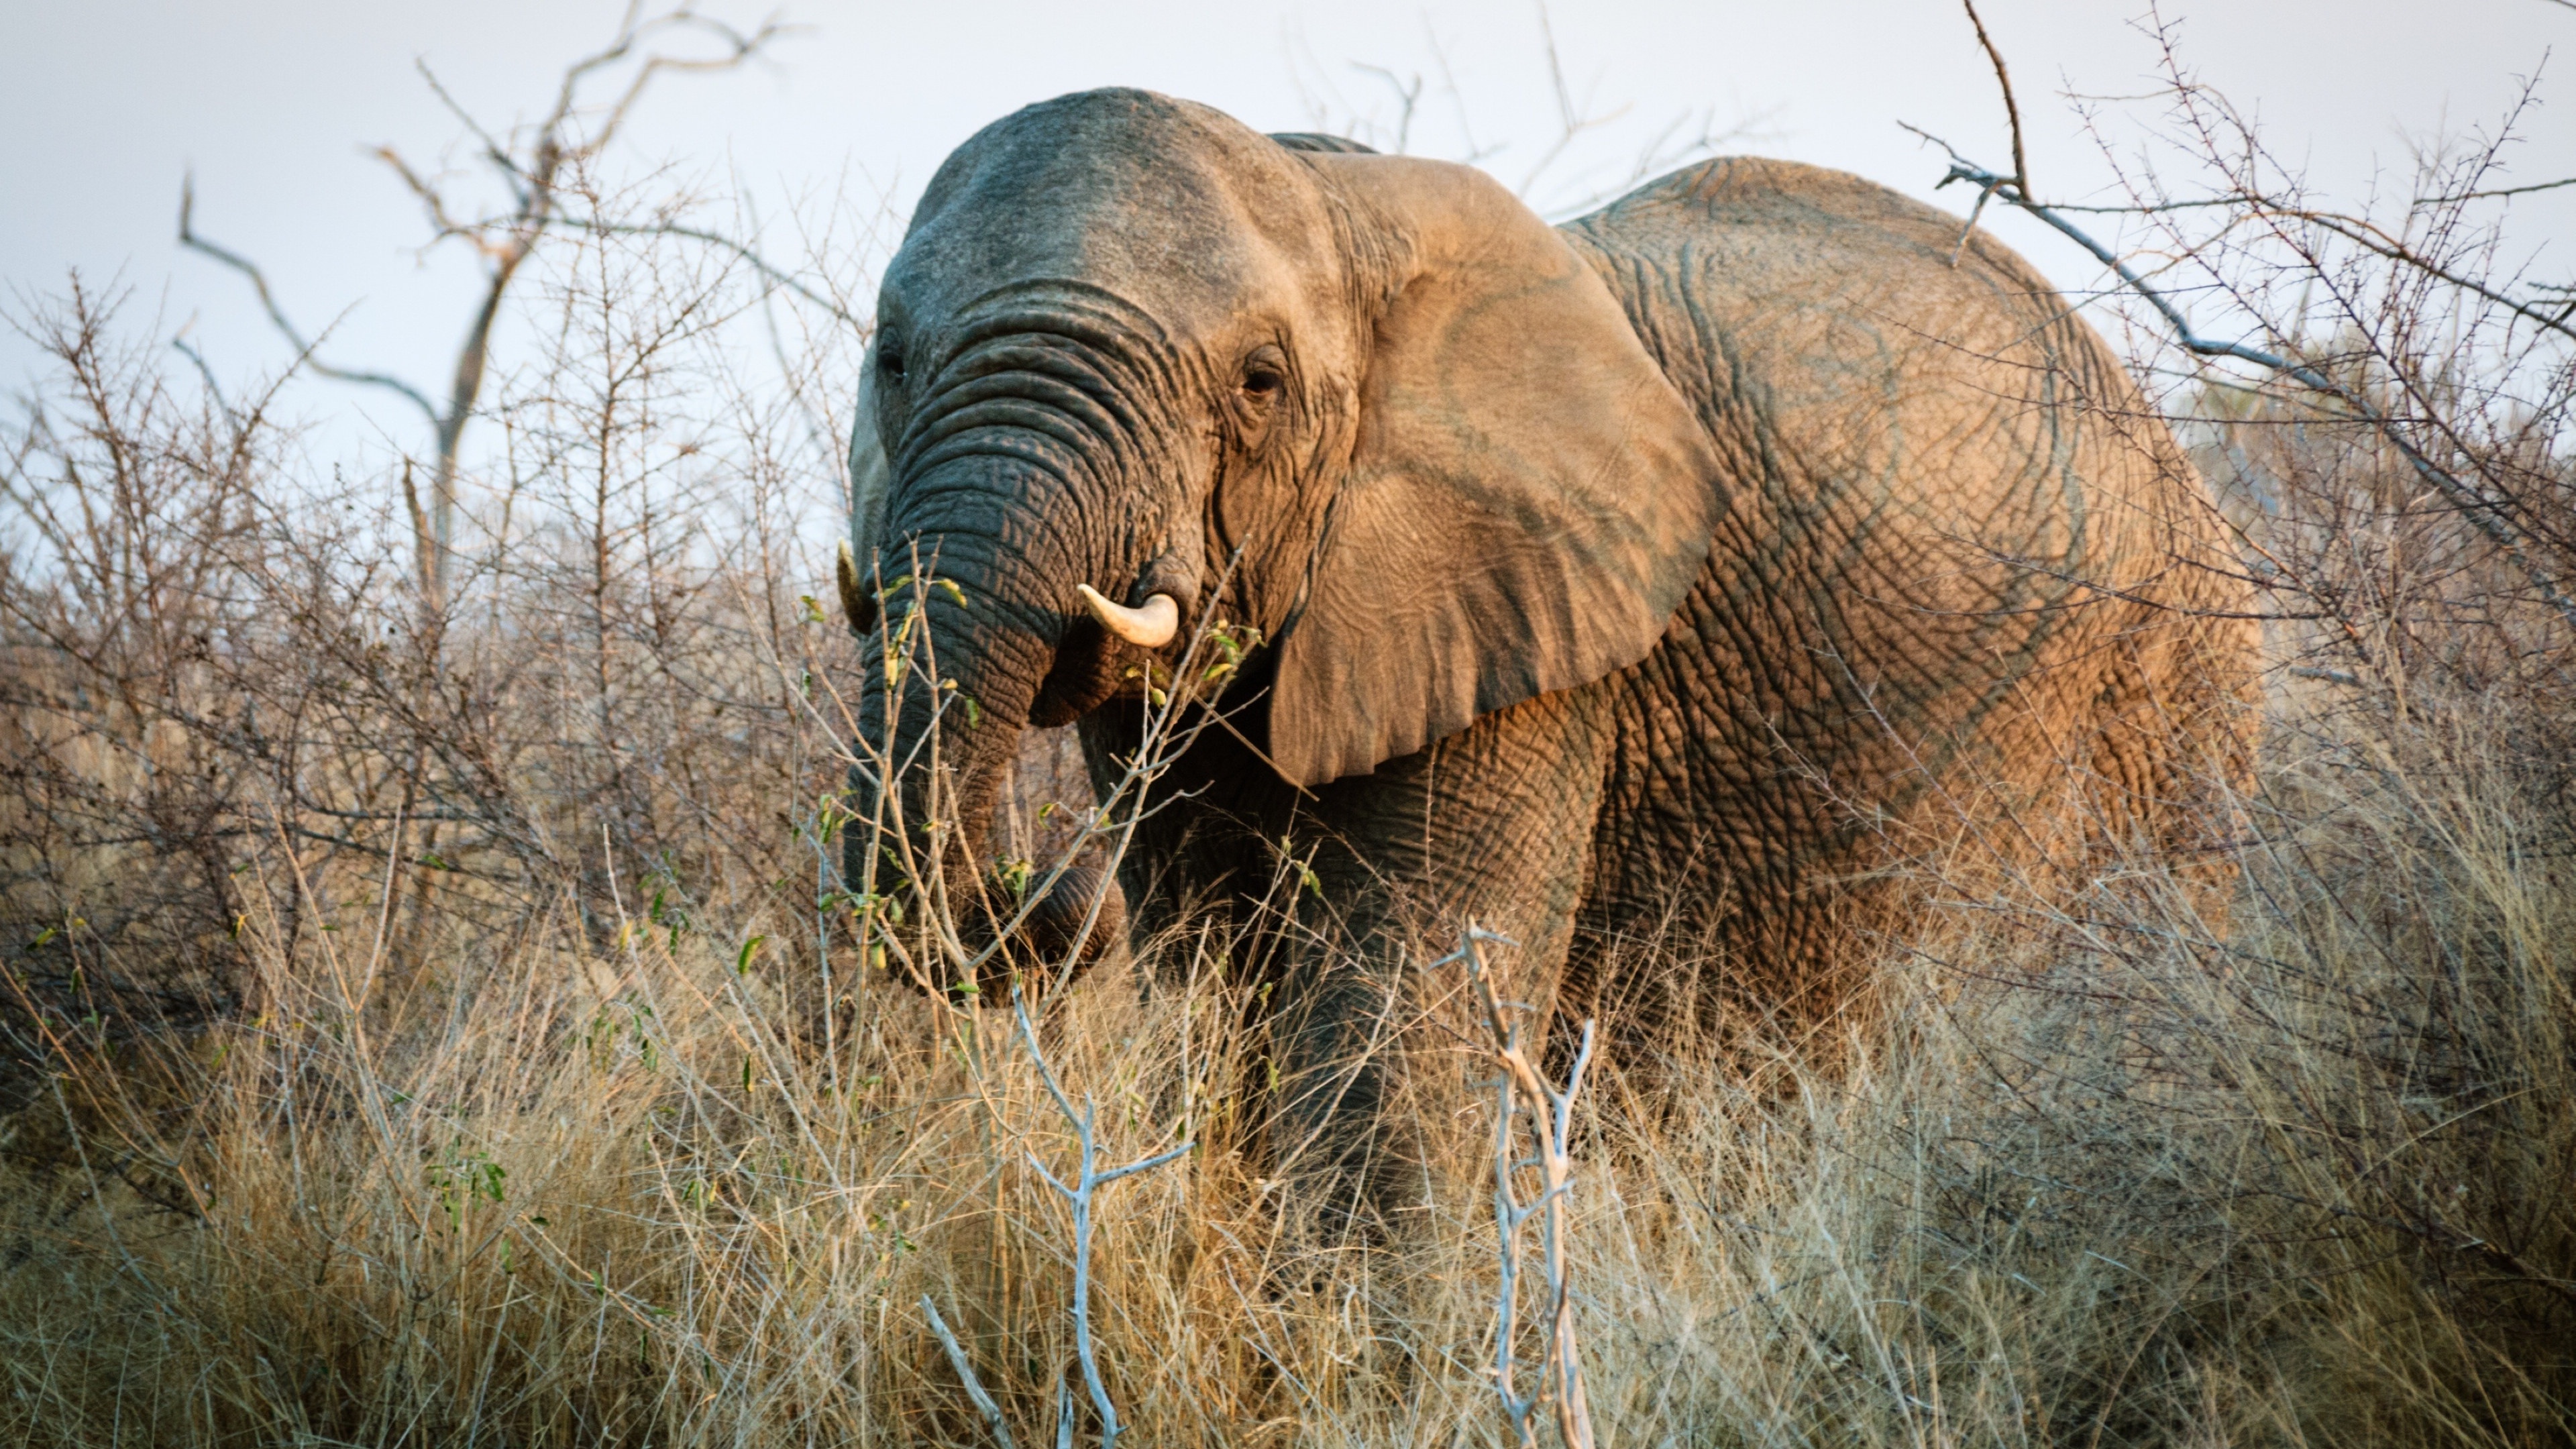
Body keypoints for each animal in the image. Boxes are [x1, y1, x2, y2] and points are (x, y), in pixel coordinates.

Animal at [839, 87, 2256, 1217]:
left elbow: (1396, 1019)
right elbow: (1220, 992)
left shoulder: (1543, 634)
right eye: (892, 360)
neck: (1338, 206)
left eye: (1259, 381)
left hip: (2167, 703)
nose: (1052, 894)